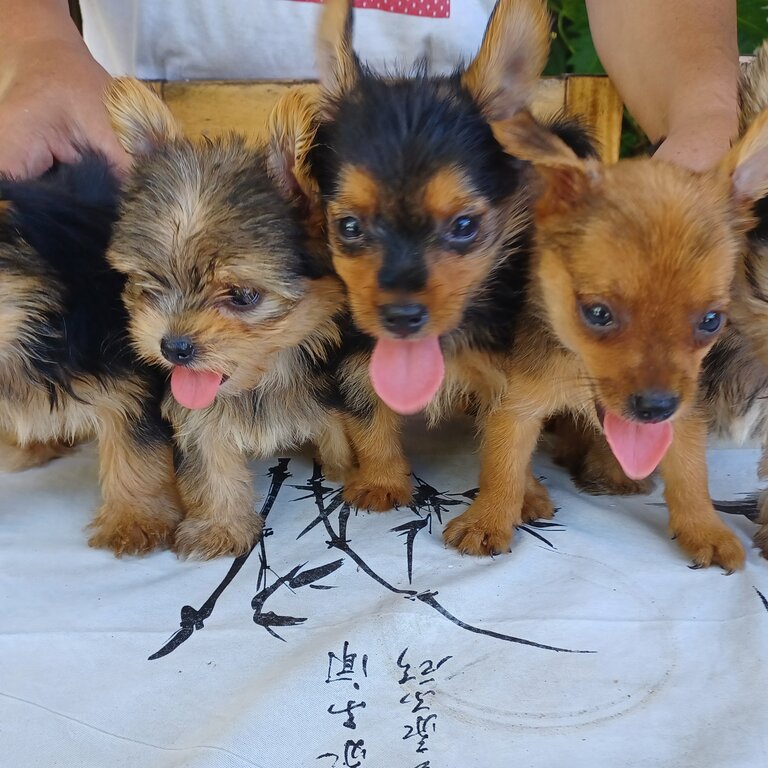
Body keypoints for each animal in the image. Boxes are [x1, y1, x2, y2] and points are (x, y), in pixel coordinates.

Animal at [105, 79, 352, 560]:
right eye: (151, 284)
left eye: (242, 296)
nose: (174, 347)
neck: (259, 382)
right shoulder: (196, 415)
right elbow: (209, 462)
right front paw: (220, 527)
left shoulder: (327, 396)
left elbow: (342, 437)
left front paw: (354, 476)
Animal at [308, 0, 592, 520]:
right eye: (349, 227)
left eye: (464, 226)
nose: (401, 316)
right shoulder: (356, 352)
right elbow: (367, 415)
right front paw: (380, 480)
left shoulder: (509, 373)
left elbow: (510, 439)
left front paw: (522, 495)